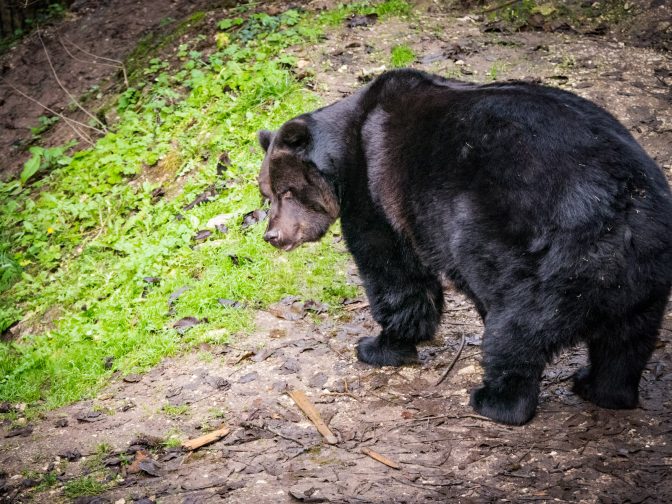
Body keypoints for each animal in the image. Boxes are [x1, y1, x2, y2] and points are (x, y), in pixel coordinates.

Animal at [256, 70, 672, 426]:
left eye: (287, 191)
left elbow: (393, 272)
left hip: (539, 251)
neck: (347, 149)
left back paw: (496, 400)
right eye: (266, 193)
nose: (273, 235)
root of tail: (621, 203)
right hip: (643, 270)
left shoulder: (377, 195)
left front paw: (378, 345)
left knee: (518, 326)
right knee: (627, 339)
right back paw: (602, 388)